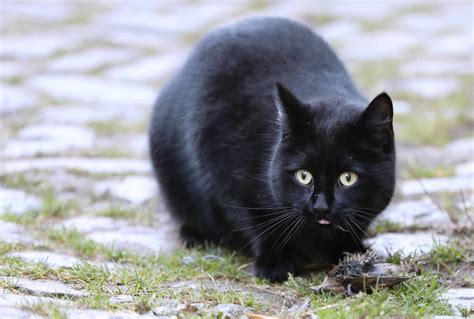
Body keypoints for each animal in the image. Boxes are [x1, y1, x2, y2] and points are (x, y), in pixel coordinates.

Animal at [150, 17, 394, 282]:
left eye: (348, 178)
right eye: (303, 176)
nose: (321, 206)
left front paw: (352, 253)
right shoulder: (225, 175)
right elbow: (259, 222)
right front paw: (275, 263)